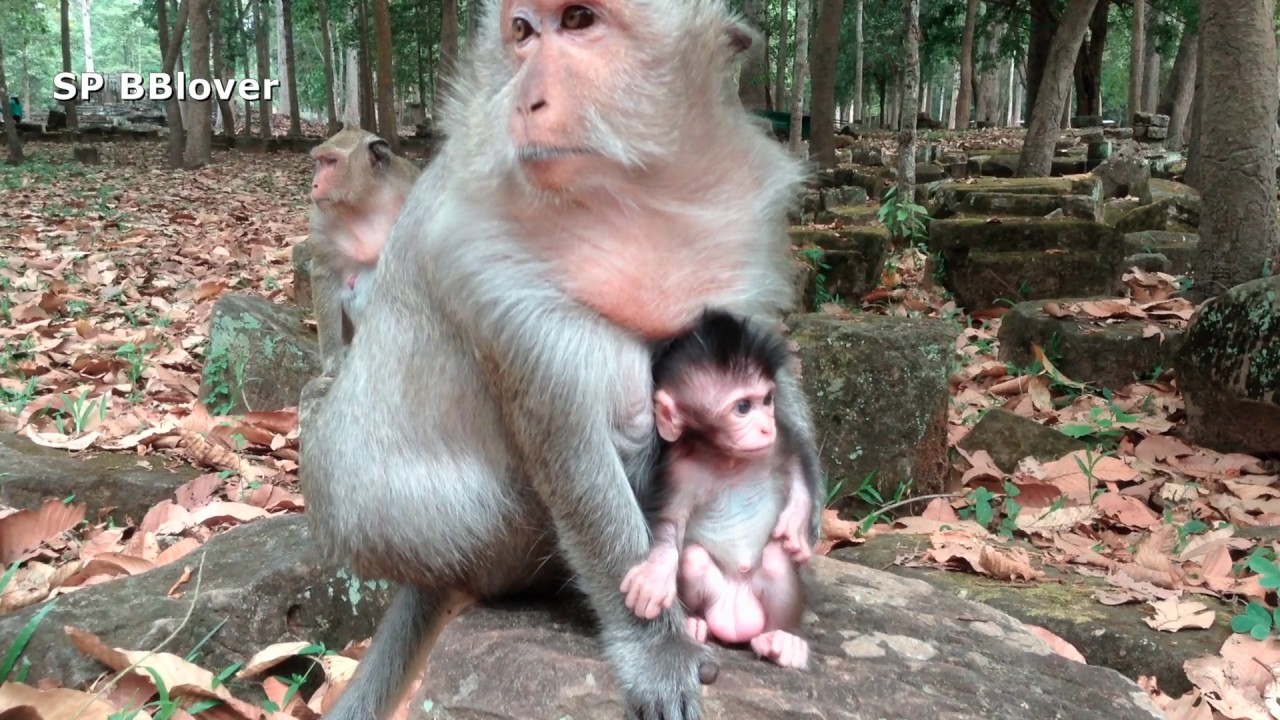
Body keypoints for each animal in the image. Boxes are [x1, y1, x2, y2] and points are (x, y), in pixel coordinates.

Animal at [305, 125, 420, 374]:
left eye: (332, 162)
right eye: (320, 162)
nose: (314, 185)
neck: (368, 203)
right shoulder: (322, 220)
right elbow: (325, 275)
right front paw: (333, 363)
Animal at [621, 309, 813, 671]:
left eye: (767, 400)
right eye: (743, 407)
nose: (765, 426)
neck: (727, 459)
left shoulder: (776, 442)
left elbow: (795, 463)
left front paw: (795, 523)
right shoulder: (679, 471)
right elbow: (669, 523)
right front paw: (656, 574)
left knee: (776, 559)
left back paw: (783, 640)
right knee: (693, 558)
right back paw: (695, 623)